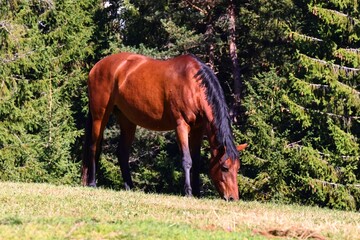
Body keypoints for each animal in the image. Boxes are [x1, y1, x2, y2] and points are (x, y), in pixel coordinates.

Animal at [81, 52, 248, 201]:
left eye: (237, 168)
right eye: (225, 167)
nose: (233, 198)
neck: (192, 85)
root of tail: (97, 66)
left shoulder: (198, 129)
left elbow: (197, 160)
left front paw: (197, 193)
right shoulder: (181, 125)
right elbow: (187, 160)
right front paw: (188, 192)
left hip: (127, 120)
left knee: (122, 152)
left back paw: (129, 187)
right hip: (99, 115)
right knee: (94, 147)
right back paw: (92, 183)